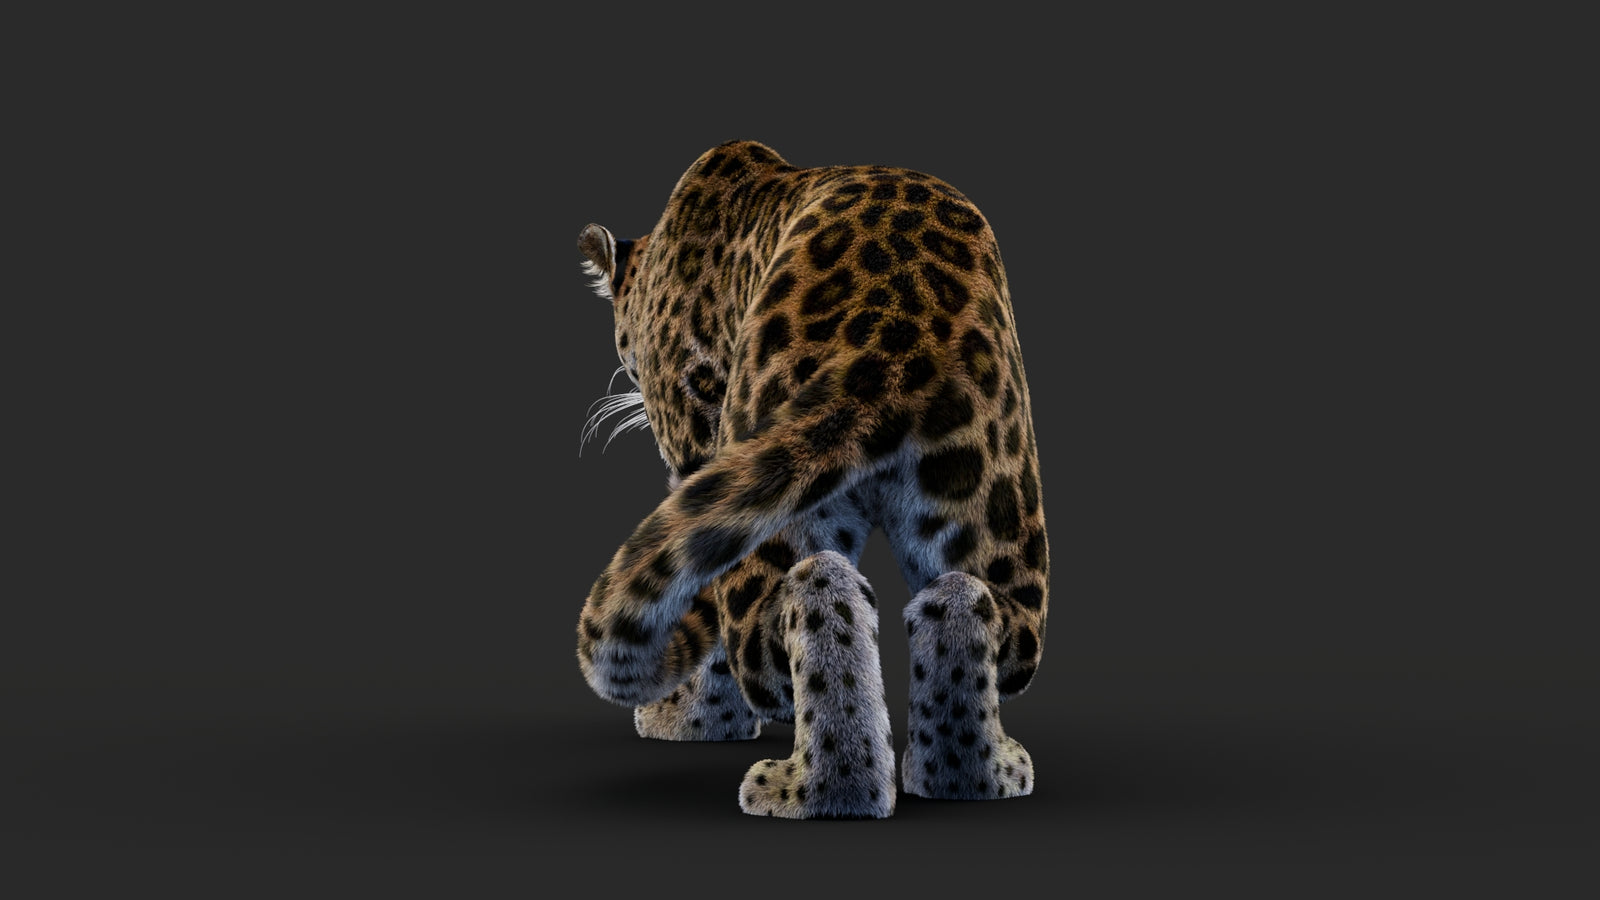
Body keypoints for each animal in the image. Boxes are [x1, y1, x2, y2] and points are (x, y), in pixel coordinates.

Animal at [573, 140, 1049, 818]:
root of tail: (895, 338)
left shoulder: (696, 447)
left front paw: (690, 721)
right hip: (992, 511)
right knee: (972, 607)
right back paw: (969, 776)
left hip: (769, 482)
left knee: (801, 605)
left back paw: (821, 789)